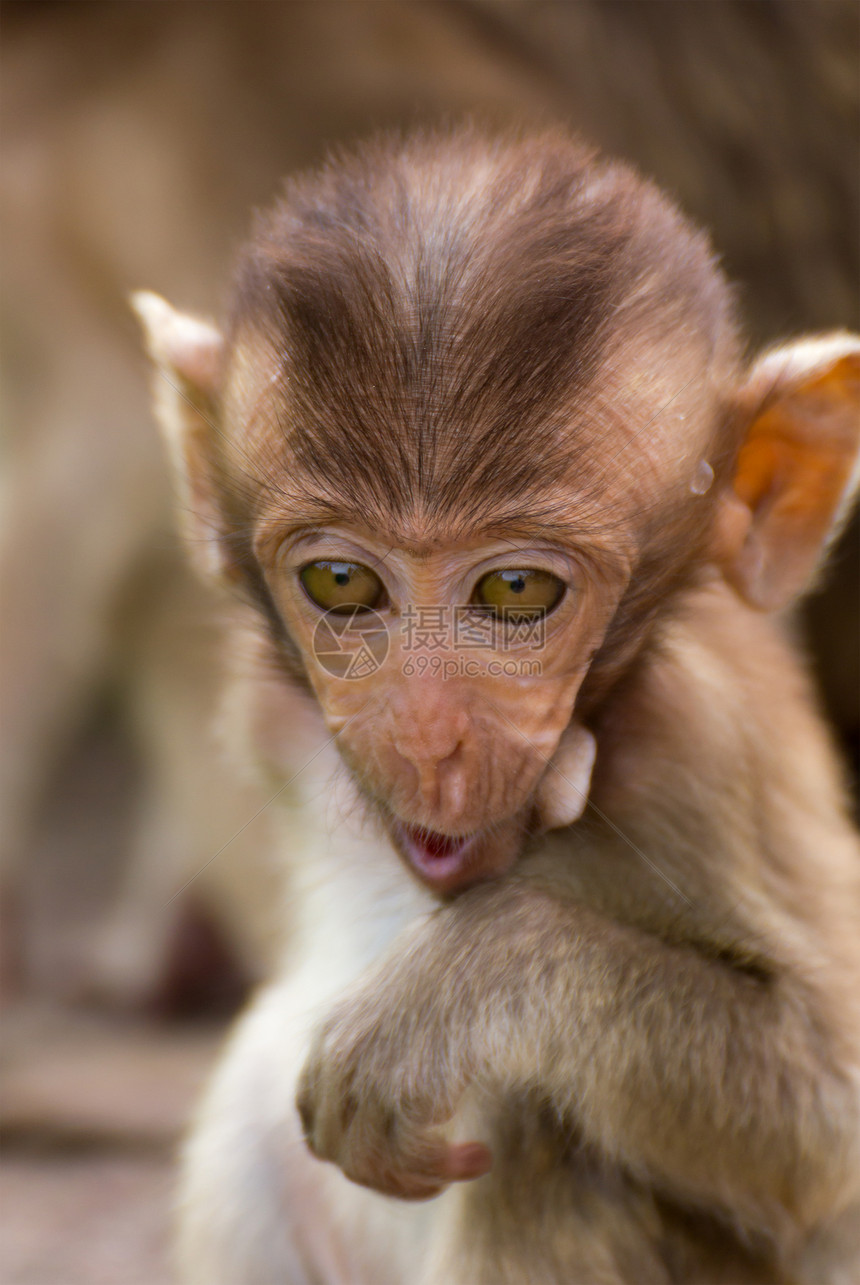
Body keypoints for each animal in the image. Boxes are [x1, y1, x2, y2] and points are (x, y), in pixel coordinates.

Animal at [134, 132, 858, 1285]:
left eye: (515, 592)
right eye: (342, 582)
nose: (428, 737)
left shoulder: (699, 752)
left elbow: (824, 1130)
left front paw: (455, 990)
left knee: (541, 1133)